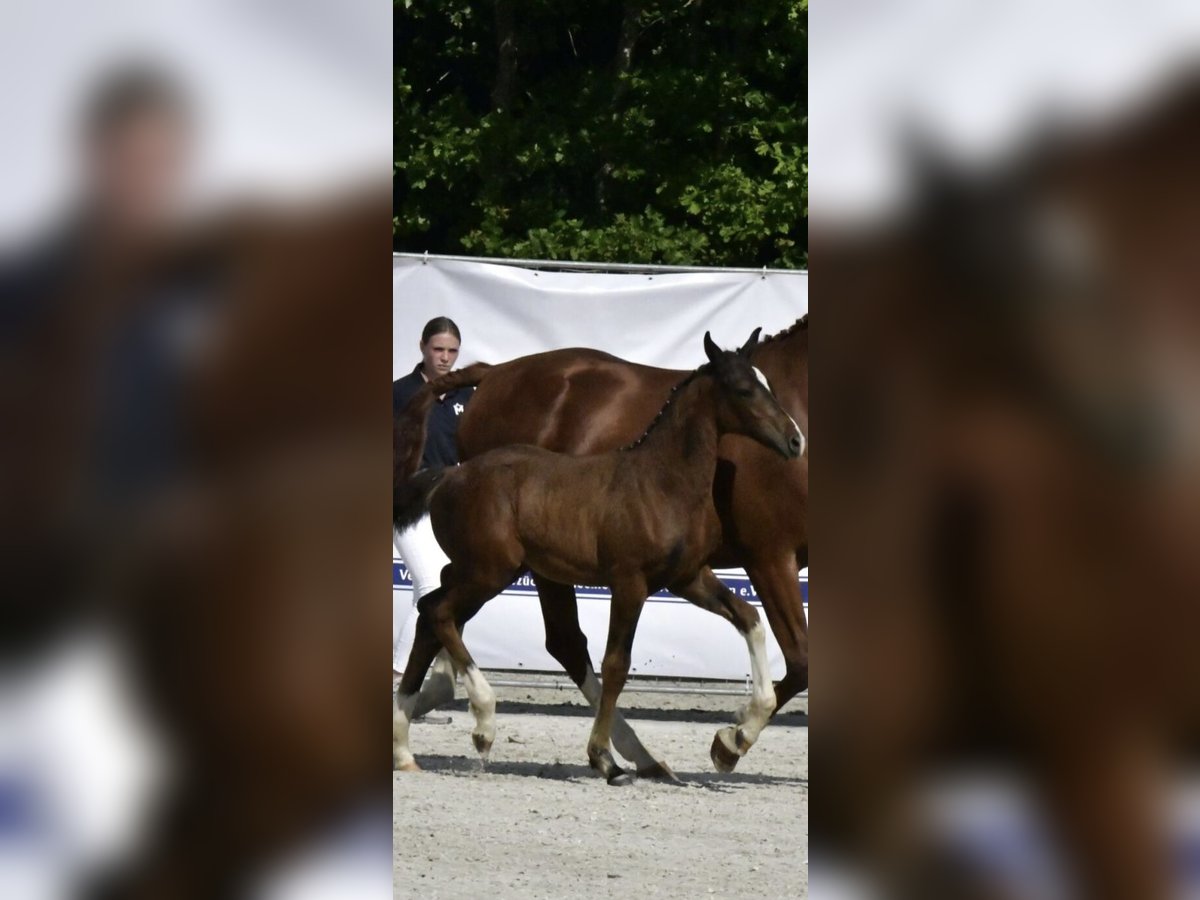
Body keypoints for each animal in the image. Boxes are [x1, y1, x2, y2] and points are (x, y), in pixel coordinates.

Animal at [394, 316, 808, 775]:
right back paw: (487, 724)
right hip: (494, 571)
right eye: (743, 389)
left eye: (769, 384)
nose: (794, 440)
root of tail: (451, 474)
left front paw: (733, 733)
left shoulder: (688, 577)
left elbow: (750, 619)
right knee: (453, 616)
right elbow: (617, 664)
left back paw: (405, 743)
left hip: (486, 569)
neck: (661, 480)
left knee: (434, 613)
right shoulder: (647, 579)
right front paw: (609, 754)